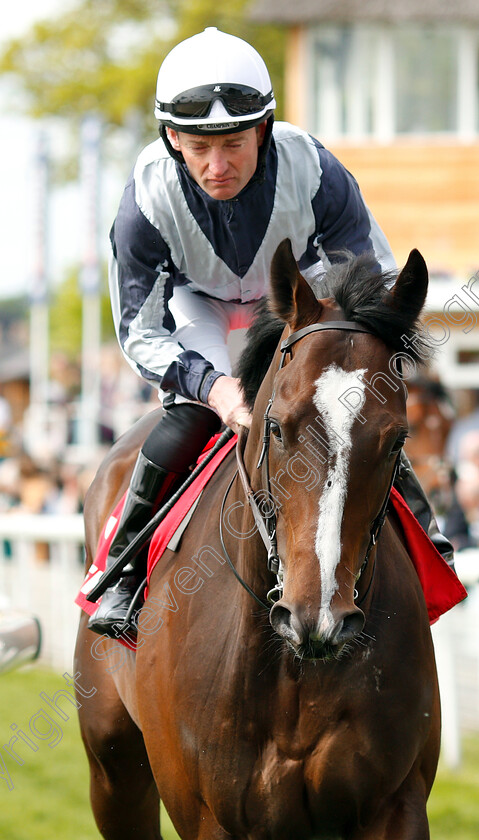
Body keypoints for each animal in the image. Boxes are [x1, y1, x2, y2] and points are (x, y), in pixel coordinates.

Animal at [76, 240, 442, 836]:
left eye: (396, 440)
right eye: (276, 427)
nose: (319, 615)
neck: (295, 668)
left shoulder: (395, 802)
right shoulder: (209, 814)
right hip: (113, 768)